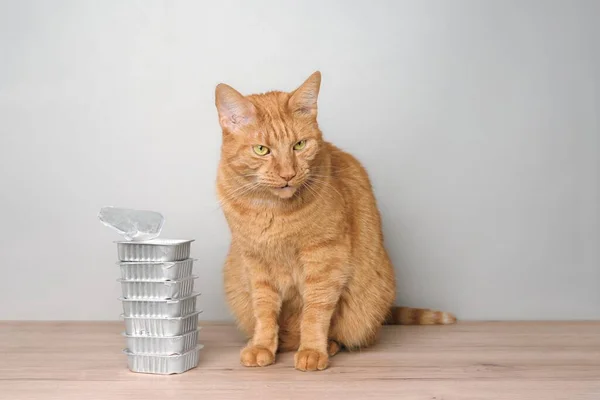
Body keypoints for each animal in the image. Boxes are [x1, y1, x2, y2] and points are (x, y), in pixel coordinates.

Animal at [213, 72, 452, 372]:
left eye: (299, 145)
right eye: (261, 150)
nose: (288, 174)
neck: (273, 210)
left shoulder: (325, 259)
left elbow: (315, 312)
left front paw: (313, 351)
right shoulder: (256, 263)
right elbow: (264, 311)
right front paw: (262, 346)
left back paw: (327, 345)